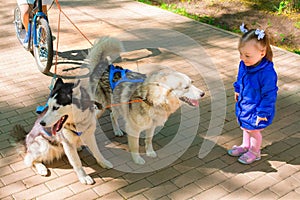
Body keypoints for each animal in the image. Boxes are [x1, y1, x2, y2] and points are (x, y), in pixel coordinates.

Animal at [87, 36, 204, 165]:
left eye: (192, 83)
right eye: (186, 87)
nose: (203, 94)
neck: (151, 99)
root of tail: (102, 66)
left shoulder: (151, 126)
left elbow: (149, 140)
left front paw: (150, 152)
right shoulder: (133, 129)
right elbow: (135, 146)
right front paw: (137, 160)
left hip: (117, 104)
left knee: (112, 115)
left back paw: (117, 131)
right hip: (101, 107)